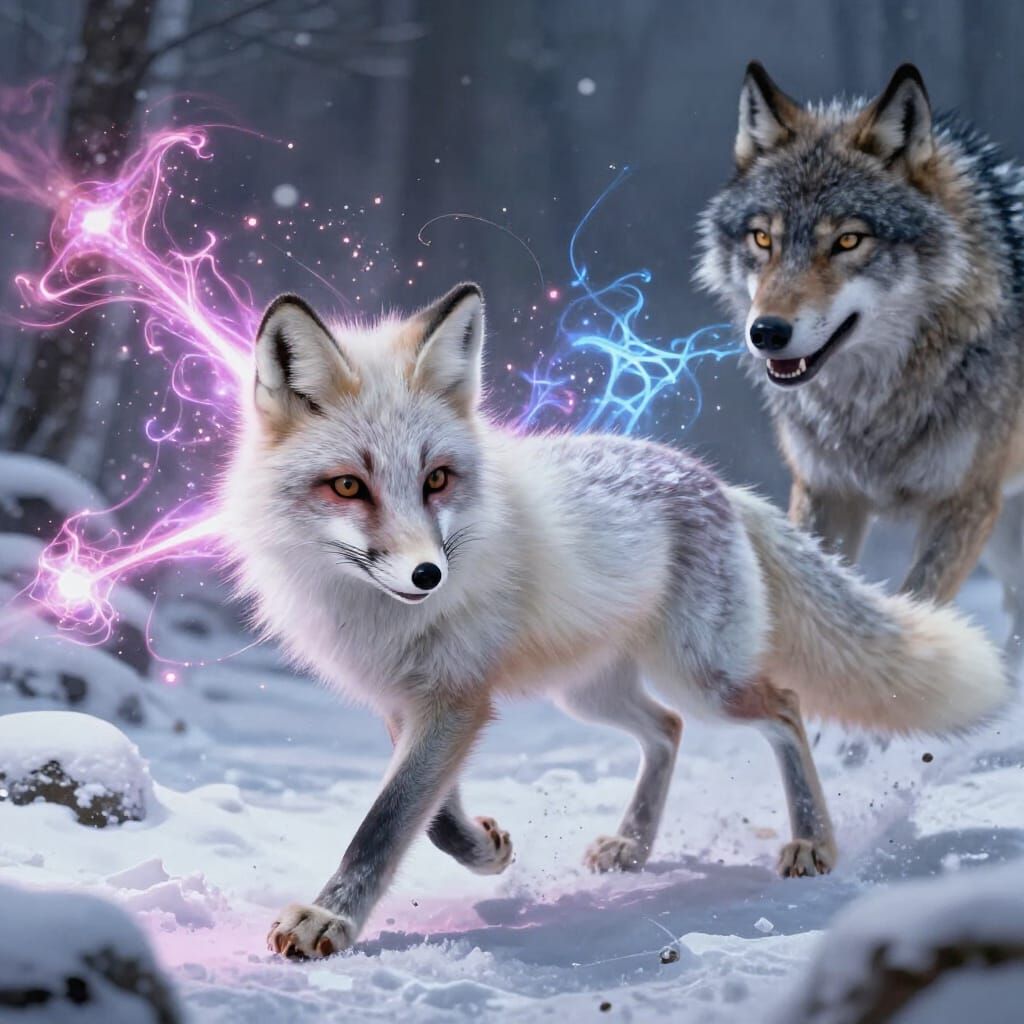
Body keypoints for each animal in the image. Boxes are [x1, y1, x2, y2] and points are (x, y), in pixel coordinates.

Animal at [220, 283, 1008, 959]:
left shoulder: (455, 700)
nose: (427, 576)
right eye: (348, 486)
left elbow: (383, 824)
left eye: (436, 479)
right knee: (667, 730)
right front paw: (485, 848)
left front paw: (330, 919)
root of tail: (720, 485)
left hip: (703, 680)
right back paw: (635, 844)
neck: (372, 613)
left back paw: (813, 843)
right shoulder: (409, 700)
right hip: (590, 693)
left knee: (782, 706)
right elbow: (432, 817)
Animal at [697, 62, 1024, 655]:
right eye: (763, 238)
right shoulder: (827, 492)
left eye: (848, 241)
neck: (871, 411)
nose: (767, 332)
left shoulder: (964, 503)